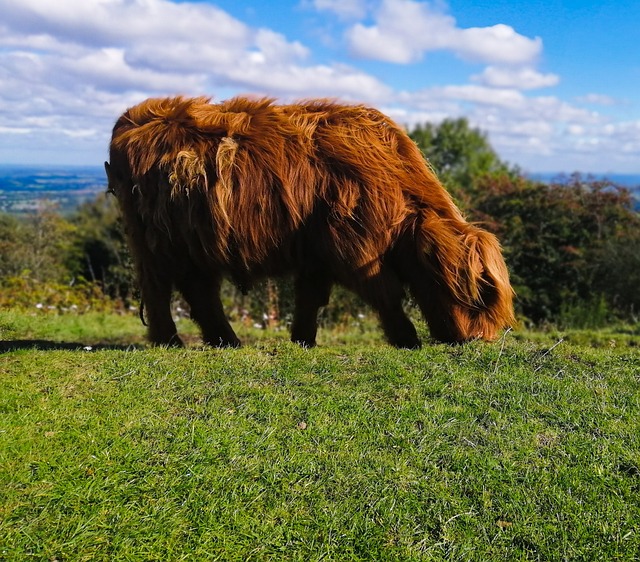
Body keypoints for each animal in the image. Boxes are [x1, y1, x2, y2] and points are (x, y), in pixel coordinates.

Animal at [105, 95, 516, 346]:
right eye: (476, 295)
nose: (478, 338)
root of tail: (133, 116)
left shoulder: (318, 254)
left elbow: (311, 298)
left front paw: (302, 339)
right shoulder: (353, 247)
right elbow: (386, 293)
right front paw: (407, 338)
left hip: (197, 243)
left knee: (199, 291)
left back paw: (226, 341)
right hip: (154, 243)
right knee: (159, 289)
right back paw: (170, 340)